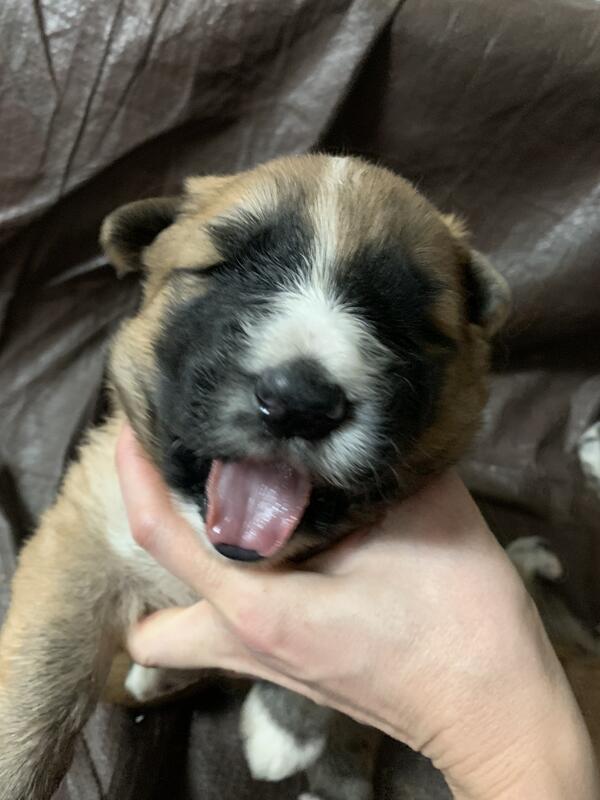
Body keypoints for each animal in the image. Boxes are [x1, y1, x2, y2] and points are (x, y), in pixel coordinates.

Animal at [0, 154, 510, 800]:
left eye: (402, 319)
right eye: (227, 271)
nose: (300, 403)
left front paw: (283, 728)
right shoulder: (82, 541)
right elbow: (35, 691)